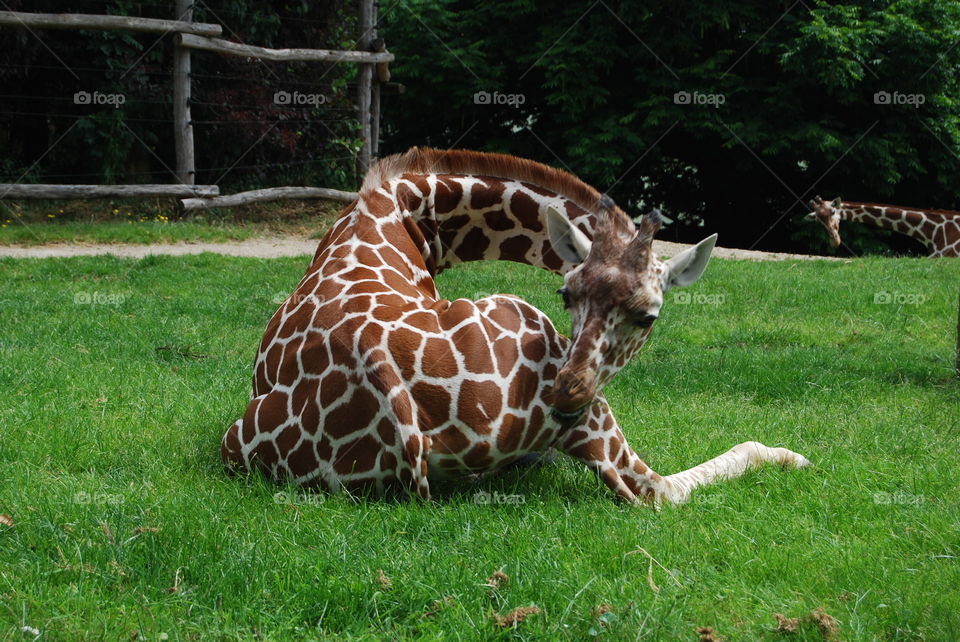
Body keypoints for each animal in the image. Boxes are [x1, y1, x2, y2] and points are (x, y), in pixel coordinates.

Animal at [223, 148, 808, 502]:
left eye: (647, 316)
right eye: (566, 293)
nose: (565, 396)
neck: (409, 212)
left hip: (239, 441)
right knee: (665, 488)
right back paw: (793, 455)